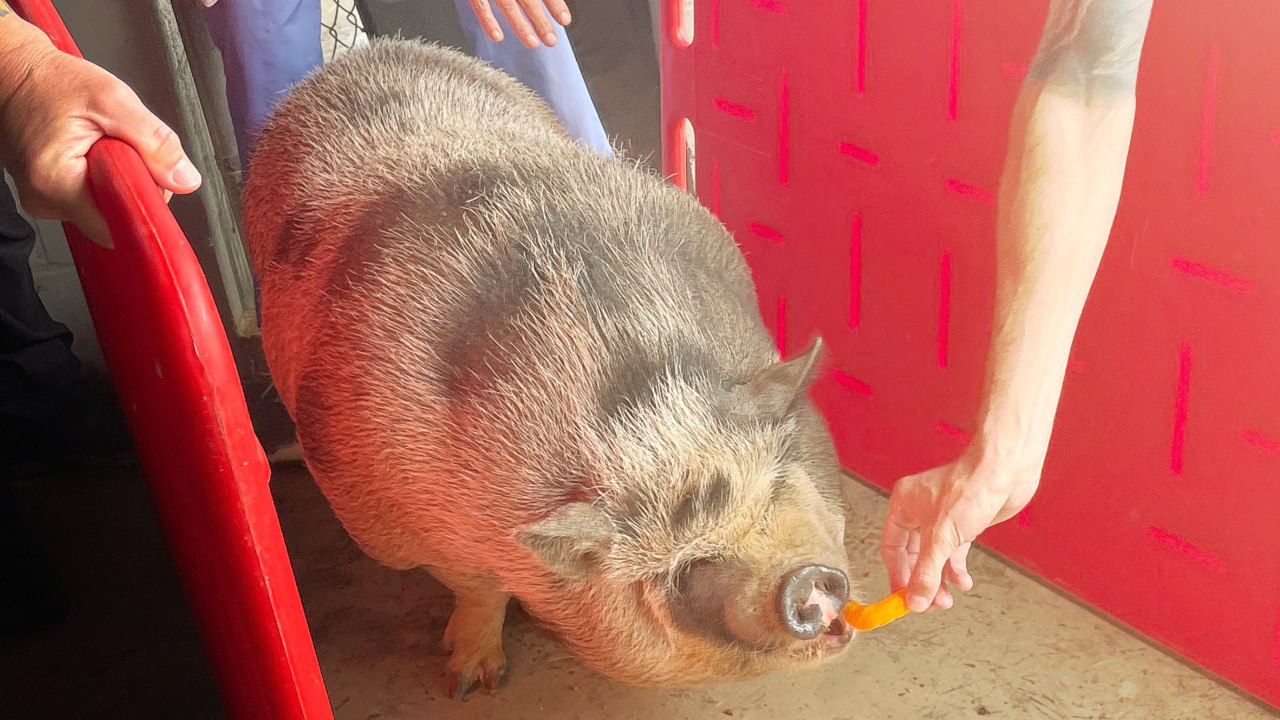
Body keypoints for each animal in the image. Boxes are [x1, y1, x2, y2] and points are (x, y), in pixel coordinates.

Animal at [242, 38, 854, 697]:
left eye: (774, 490)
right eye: (690, 571)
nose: (801, 582)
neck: (636, 409)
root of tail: (350, 61)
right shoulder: (392, 522)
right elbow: (476, 588)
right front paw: (473, 684)